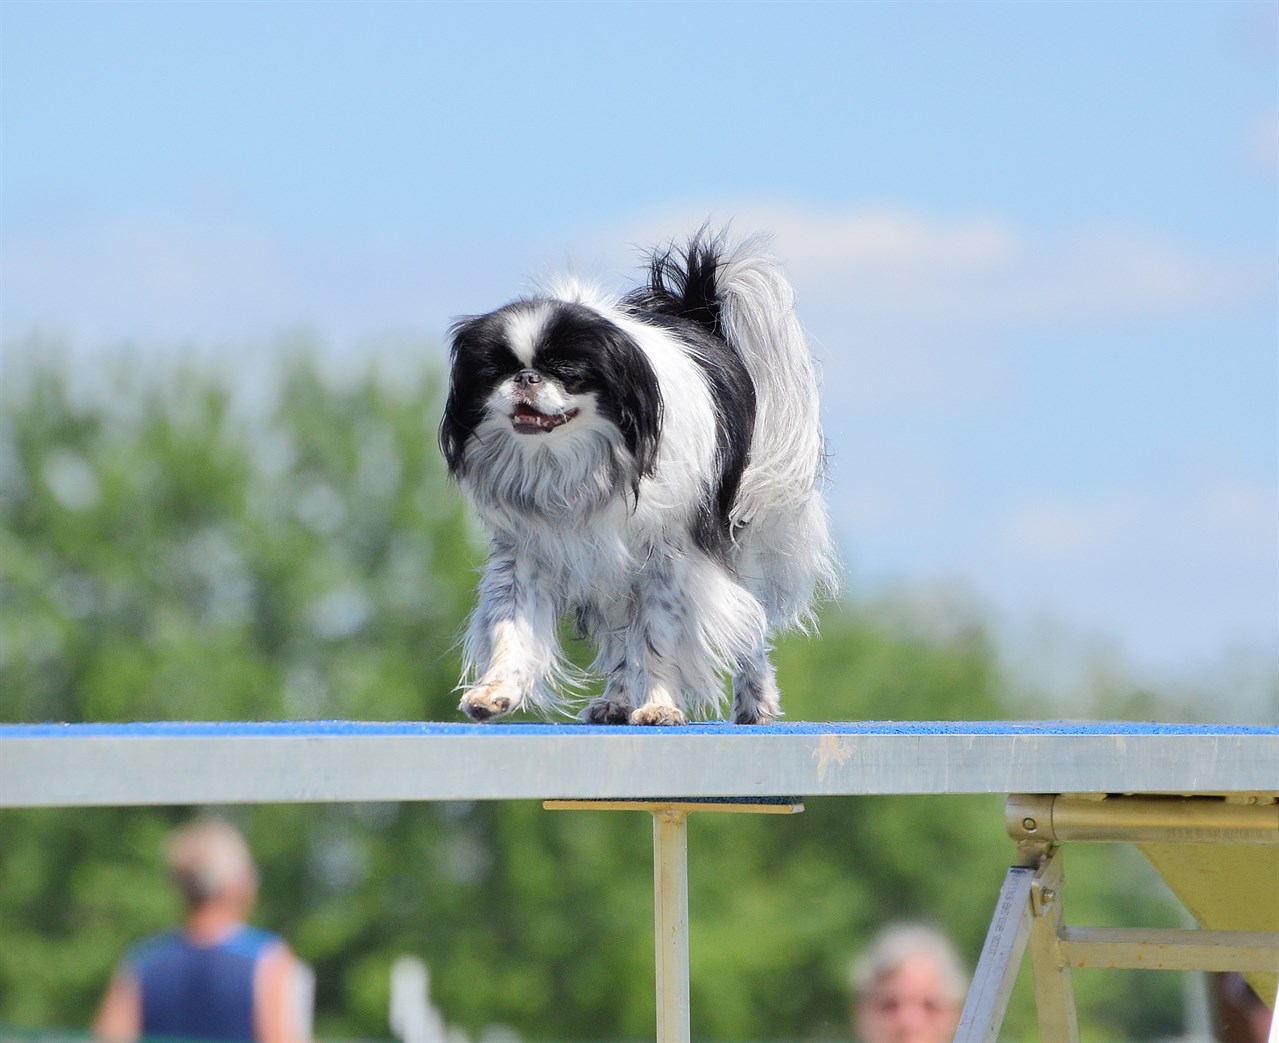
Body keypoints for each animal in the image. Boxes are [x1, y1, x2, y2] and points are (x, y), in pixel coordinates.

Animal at [439, 227, 839, 726]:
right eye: (495, 372)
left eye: (566, 373)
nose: (526, 378)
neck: (570, 463)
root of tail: (698, 314)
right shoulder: (528, 553)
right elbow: (512, 625)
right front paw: (495, 691)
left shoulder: (668, 559)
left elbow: (659, 636)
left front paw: (659, 705)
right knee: (621, 640)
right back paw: (615, 700)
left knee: (749, 622)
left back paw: (755, 702)